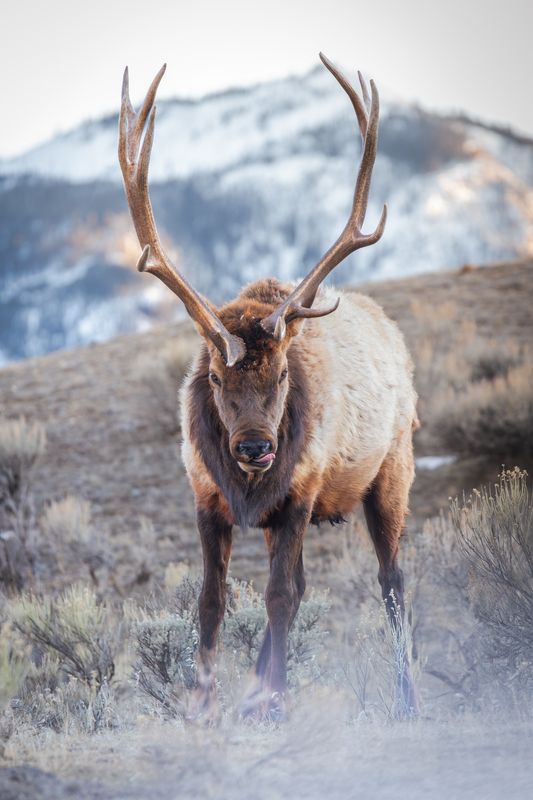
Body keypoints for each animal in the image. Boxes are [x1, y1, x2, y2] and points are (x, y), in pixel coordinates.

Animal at [118, 53, 420, 719]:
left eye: (282, 372)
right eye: (212, 374)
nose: (255, 447)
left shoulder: (301, 491)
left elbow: (278, 596)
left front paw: (278, 699)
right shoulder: (206, 495)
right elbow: (211, 601)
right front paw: (205, 703)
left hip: (391, 471)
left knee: (392, 582)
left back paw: (408, 698)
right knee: (309, 582)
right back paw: (252, 694)